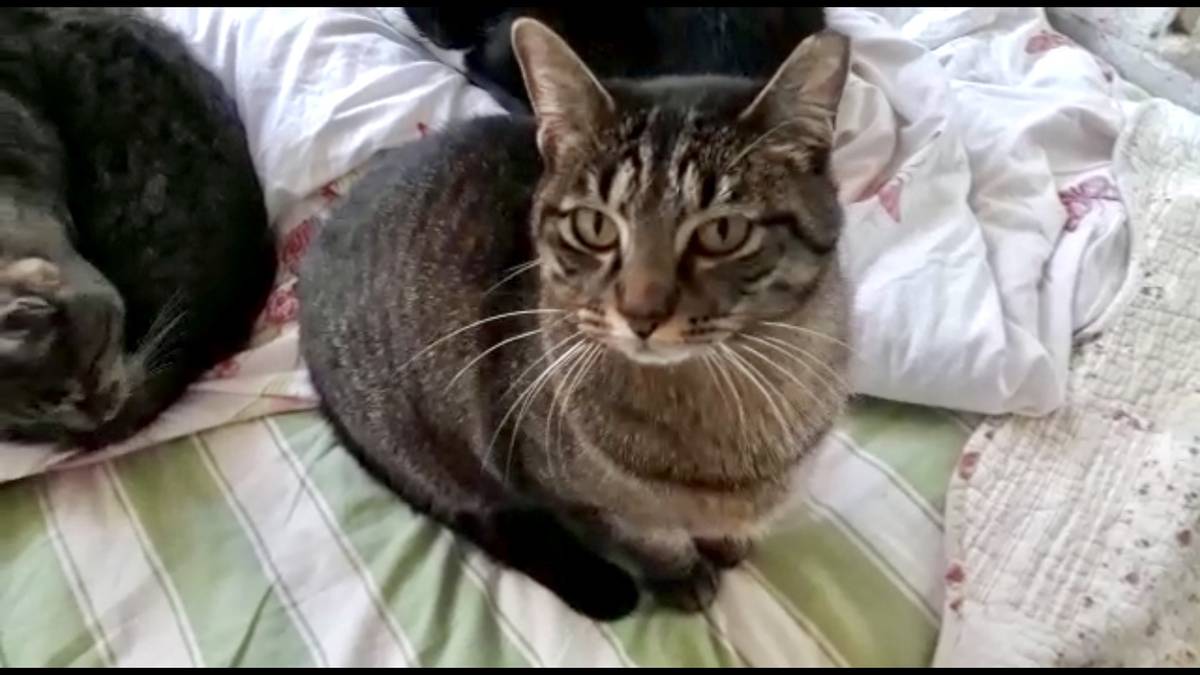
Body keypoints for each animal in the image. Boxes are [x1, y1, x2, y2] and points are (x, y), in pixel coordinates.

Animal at [299, 18, 851, 620]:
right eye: (594, 226)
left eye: (722, 231)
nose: (641, 312)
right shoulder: (564, 487)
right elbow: (648, 534)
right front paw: (680, 572)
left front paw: (726, 541)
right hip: (428, 455)